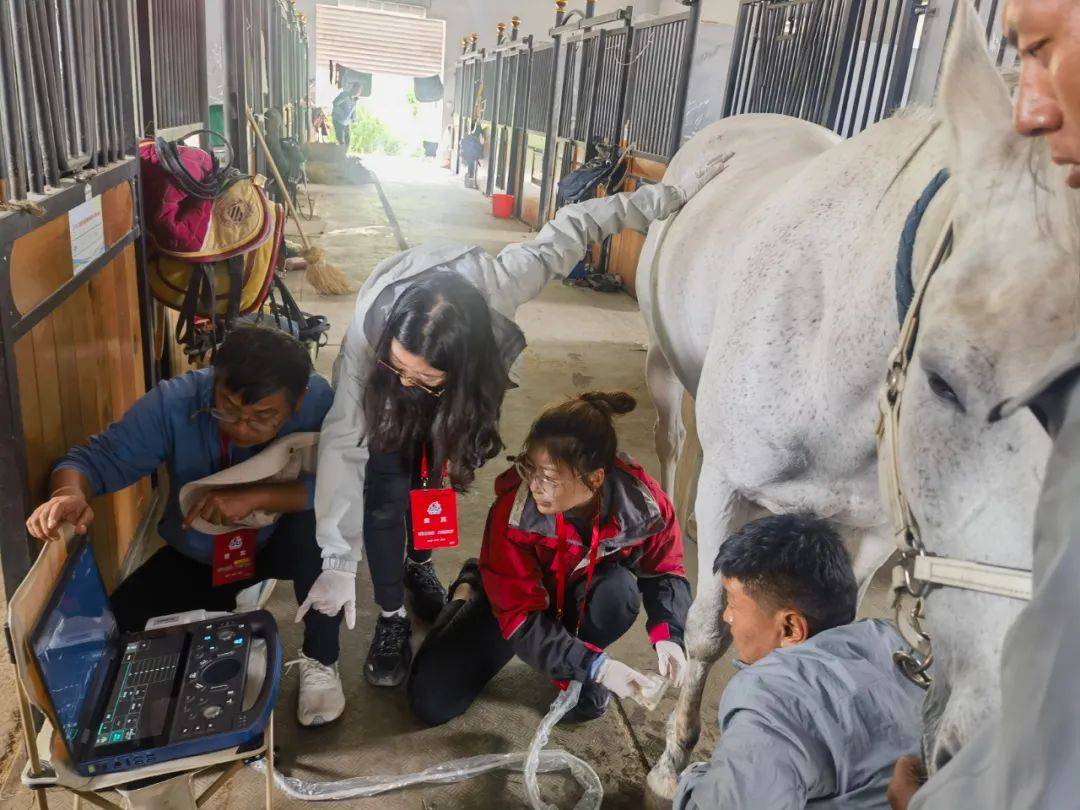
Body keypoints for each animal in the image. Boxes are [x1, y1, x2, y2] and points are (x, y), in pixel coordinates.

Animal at [635, 0, 1080, 799]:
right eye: (944, 379)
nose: (1005, 767)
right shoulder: (729, 483)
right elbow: (708, 631)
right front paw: (670, 760)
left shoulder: (871, 534)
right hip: (664, 370)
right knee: (675, 443)